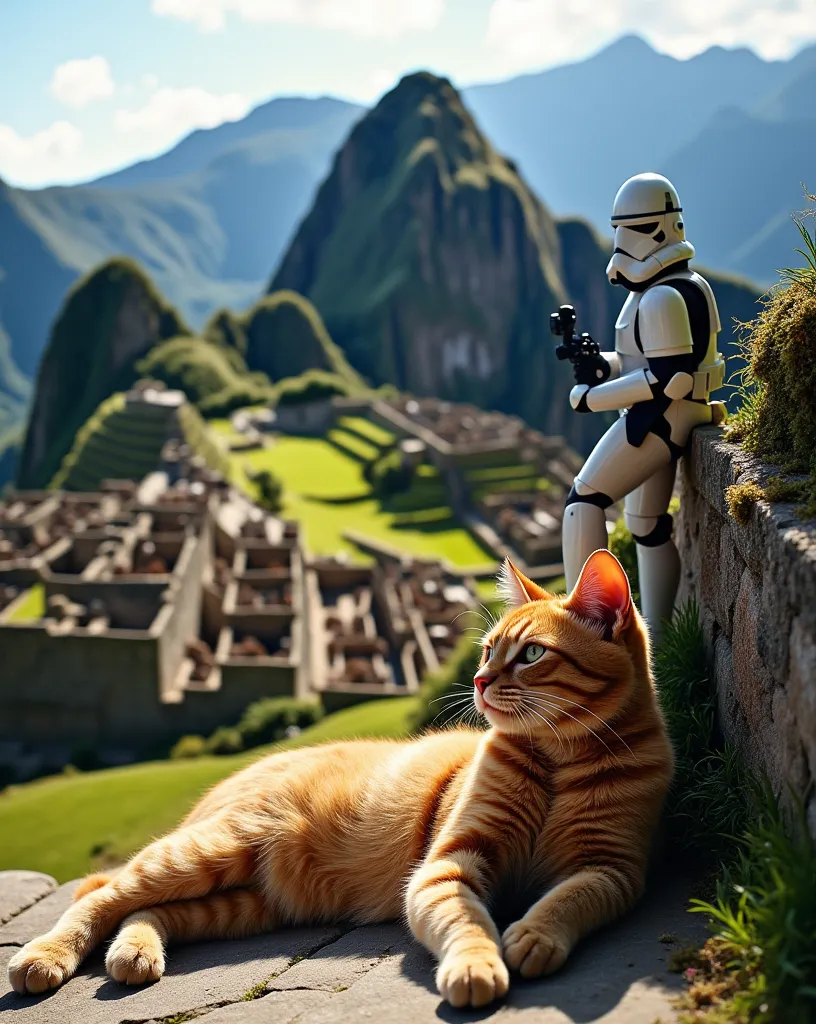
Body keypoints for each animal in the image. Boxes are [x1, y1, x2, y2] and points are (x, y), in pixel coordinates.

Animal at [9, 552, 675, 1007]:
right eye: (488, 649)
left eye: (531, 654)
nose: (480, 681)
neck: (559, 760)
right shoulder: (448, 866)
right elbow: (467, 922)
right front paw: (478, 966)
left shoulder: (612, 870)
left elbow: (568, 899)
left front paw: (534, 935)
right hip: (204, 852)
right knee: (101, 895)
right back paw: (44, 957)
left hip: (246, 901)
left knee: (146, 910)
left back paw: (135, 951)